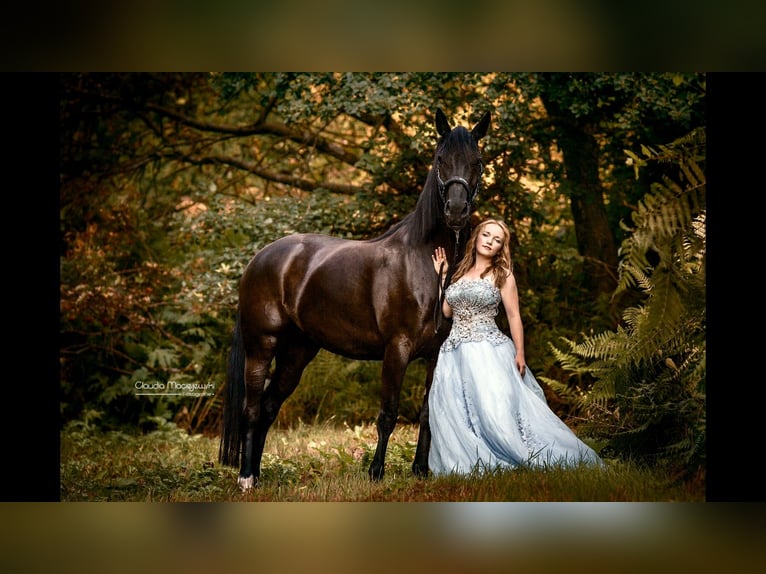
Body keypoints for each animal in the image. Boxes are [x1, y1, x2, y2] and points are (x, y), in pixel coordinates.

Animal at [219, 108, 491, 490]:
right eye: (440, 159)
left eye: (477, 162)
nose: (454, 210)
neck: (425, 261)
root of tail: (259, 258)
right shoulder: (397, 349)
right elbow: (388, 414)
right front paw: (376, 473)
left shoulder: (435, 353)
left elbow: (427, 413)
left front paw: (420, 471)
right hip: (262, 345)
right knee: (254, 407)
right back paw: (245, 477)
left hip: (297, 352)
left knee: (271, 406)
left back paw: (257, 473)